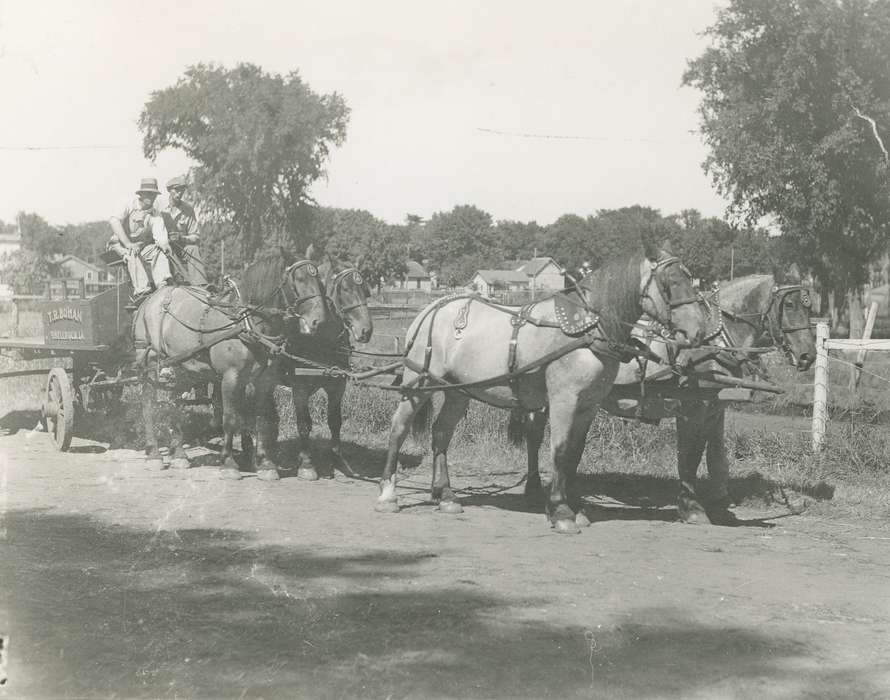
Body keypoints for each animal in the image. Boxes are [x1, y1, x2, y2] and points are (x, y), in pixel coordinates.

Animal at [130, 247, 328, 482]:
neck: (246, 322)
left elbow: (261, 417)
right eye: (298, 279)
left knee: (176, 404)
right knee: (148, 404)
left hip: (180, 367)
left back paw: (179, 454)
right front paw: (229, 463)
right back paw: (153, 453)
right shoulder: (230, 377)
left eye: (320, 280)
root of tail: (150, 299)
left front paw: (266, 464)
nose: (318, 321)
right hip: (148, 363)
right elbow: (231, 418)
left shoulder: (265, 380)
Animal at [374, 243, 708, 532]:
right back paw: (388, 493)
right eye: (671, 282)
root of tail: (433, 307)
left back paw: (445, 496)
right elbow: (559, 450)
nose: (698, 331)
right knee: (399, 428)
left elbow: (574, 453)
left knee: (441, 433)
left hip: (457, 390)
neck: (585, 329)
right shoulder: (563, 400)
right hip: (418, 383)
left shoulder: (589, 405)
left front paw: (576, 507)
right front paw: (560, 511)